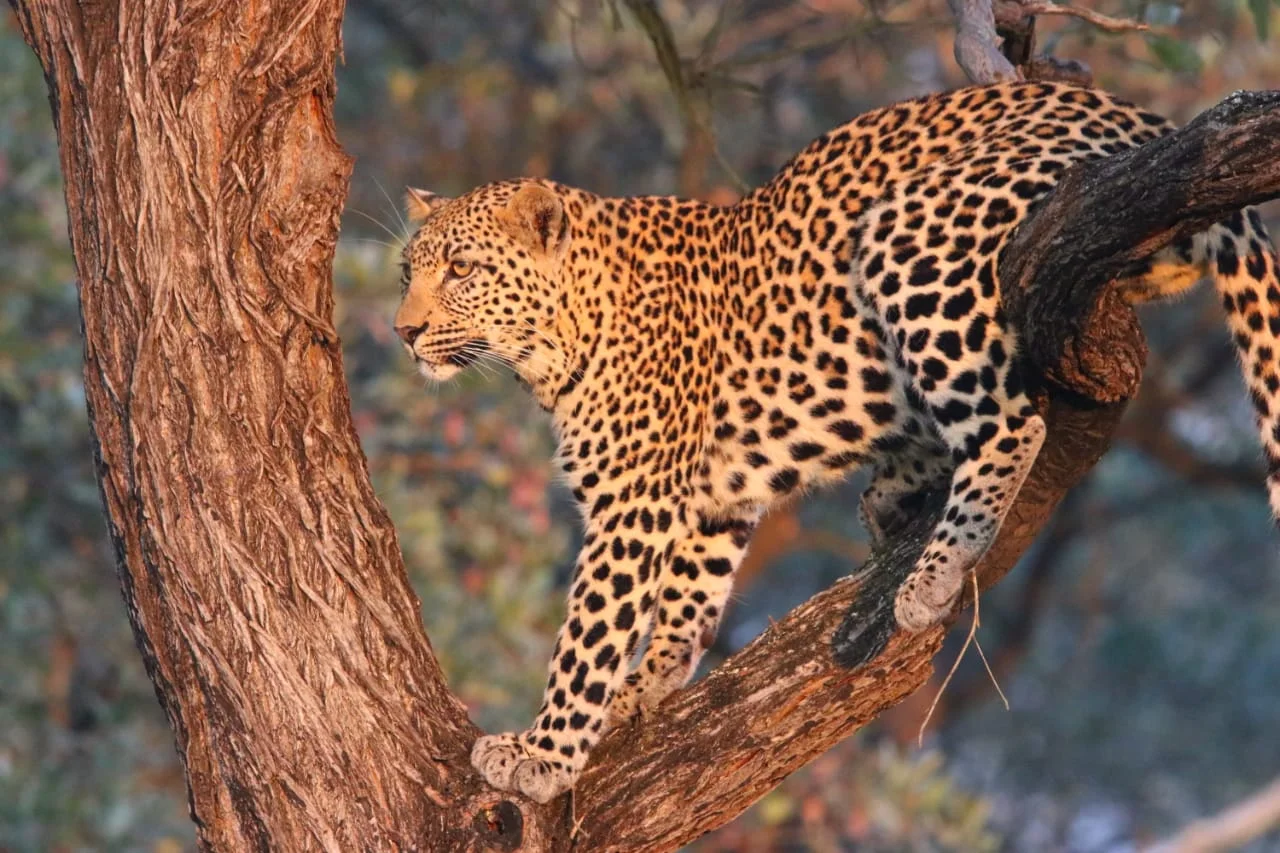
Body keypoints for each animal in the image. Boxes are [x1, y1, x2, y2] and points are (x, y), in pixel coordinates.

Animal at [392, 80, 1280, 804]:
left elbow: (588, 634)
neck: (555, 341)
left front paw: (541, 754)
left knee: (1010, 420)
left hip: (911, 234)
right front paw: (643, 690)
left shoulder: (632, 504)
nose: (402, 331)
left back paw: (935, 568)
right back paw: (895, 498)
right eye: (407, 270)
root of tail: (1136, 114)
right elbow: (684, 603)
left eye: (463, 269)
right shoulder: (711, 499)